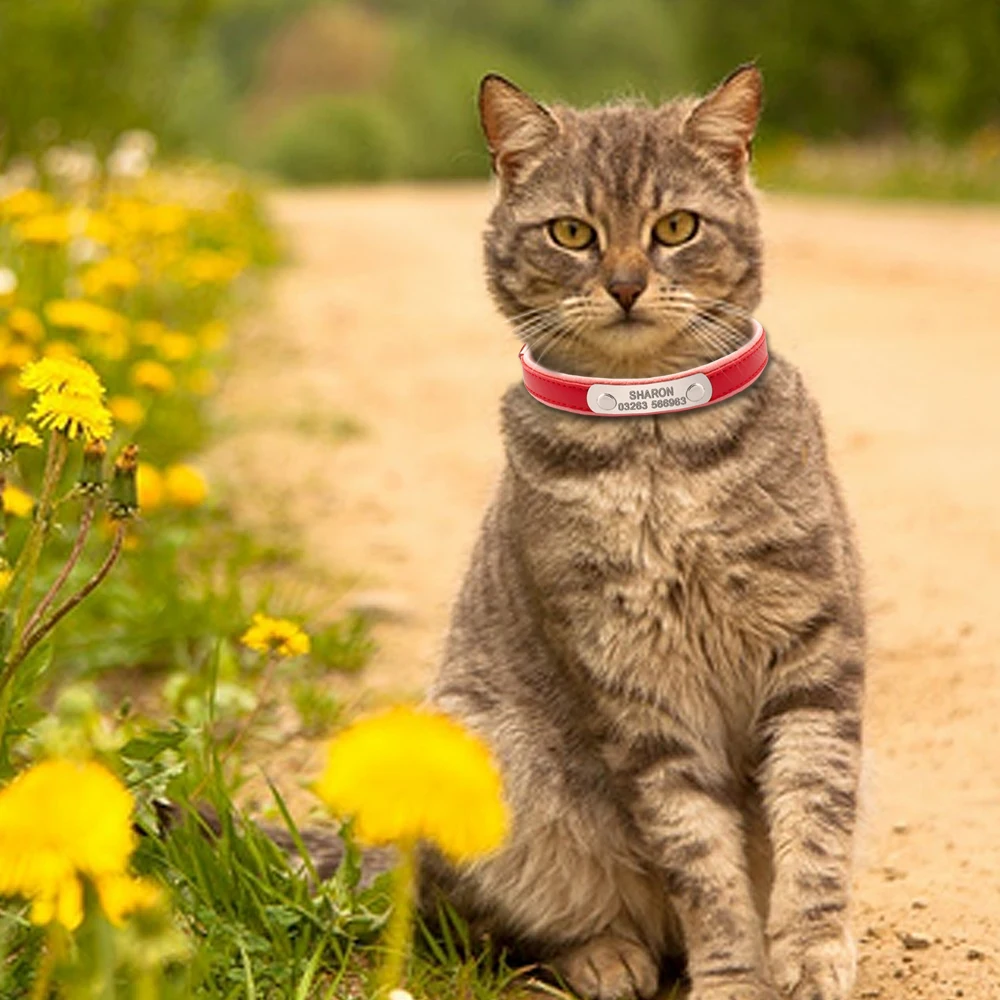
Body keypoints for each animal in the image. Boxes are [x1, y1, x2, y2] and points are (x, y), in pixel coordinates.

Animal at [418, 64, 864, 1000]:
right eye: (573, 233)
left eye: (675, 227)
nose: (624, 283)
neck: (655, 440)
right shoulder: (635, 690)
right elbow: (700, 863)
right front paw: (732, 978)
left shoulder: (812, 646)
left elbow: (814, 812)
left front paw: (810, 948)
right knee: (501, 925)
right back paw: (606, 953)